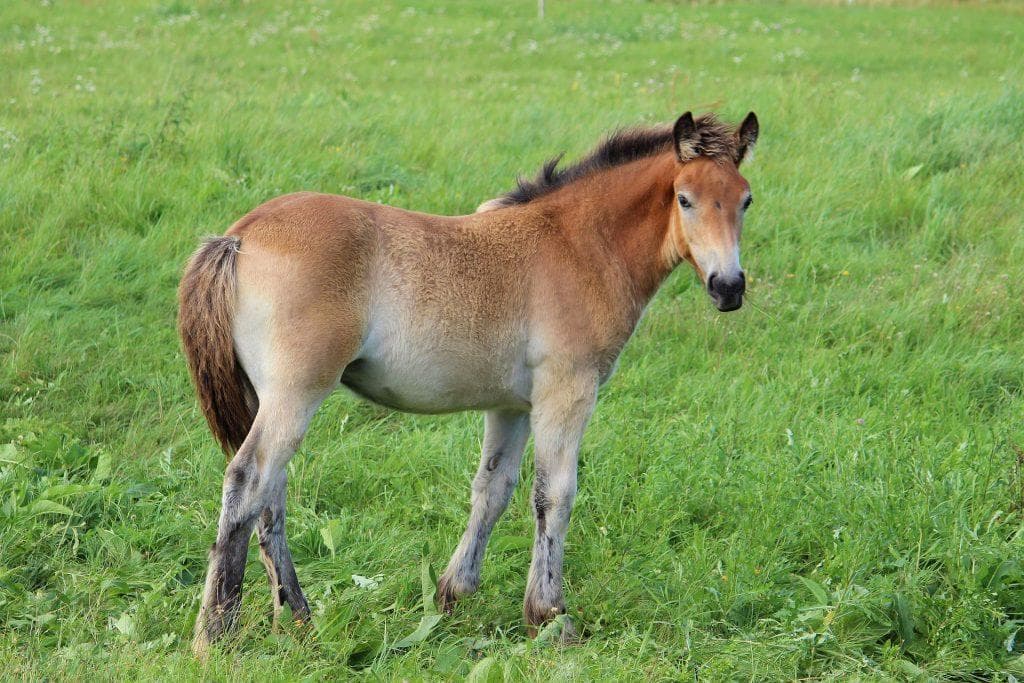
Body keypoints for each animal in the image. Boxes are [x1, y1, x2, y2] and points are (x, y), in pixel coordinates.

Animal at [180, 109, 761, 655]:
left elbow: (493, 490)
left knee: (270, 496)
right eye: (684, 199)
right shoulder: (567, 391)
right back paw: (216, 635)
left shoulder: (513, 406)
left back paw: (297, 617)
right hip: (296, 393)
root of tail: (239, 236)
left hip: (267, 397)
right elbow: (555, 495)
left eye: (746, 201)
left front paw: (453, 594)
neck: (579, 246)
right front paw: (551, 617)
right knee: (248, 481)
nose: (729, 287)